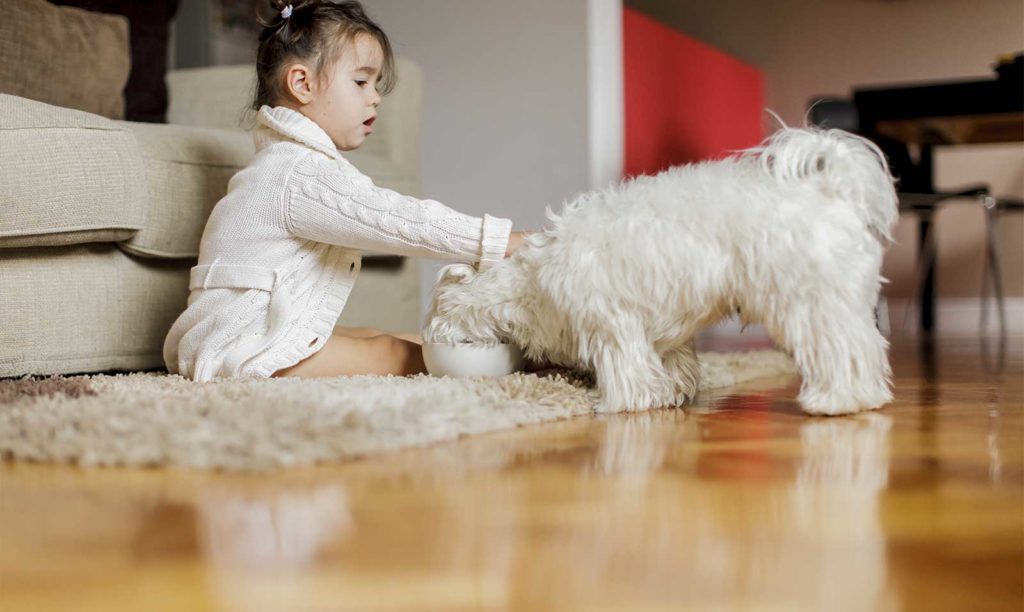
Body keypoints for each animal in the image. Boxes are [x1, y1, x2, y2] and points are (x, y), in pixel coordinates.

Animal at [421, 128, 897, 417]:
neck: (531, 280)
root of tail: (831, 191)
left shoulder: (612, 322)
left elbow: (626, 367)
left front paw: (619, 402)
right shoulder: (663, 329)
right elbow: (674, 361)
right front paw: (673, 392)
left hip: (811, 302)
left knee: (843, 351)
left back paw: (837, 399)